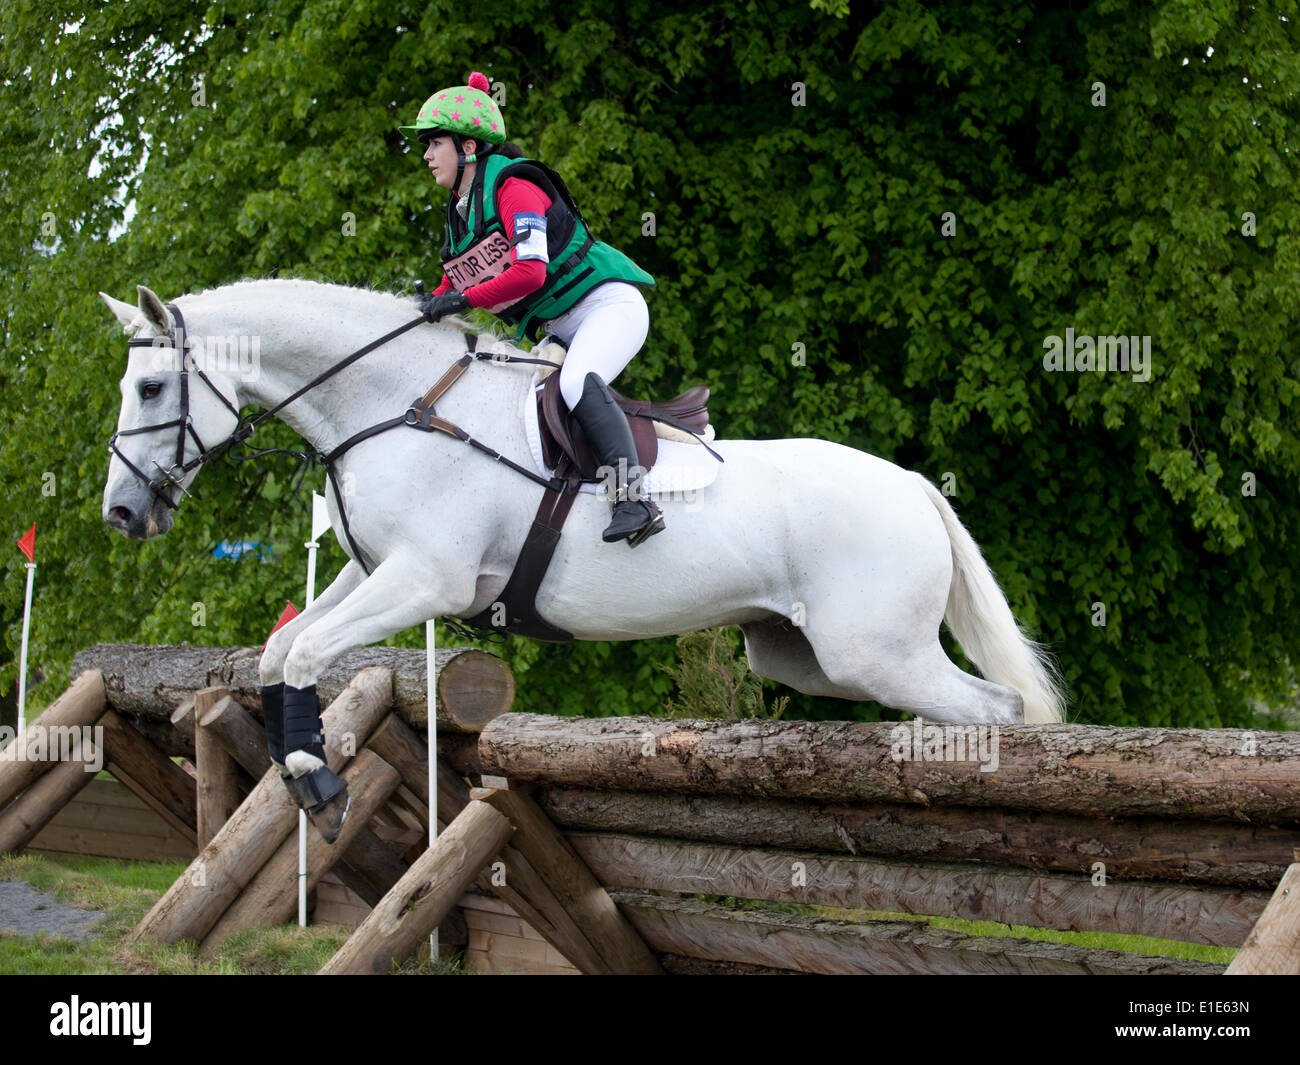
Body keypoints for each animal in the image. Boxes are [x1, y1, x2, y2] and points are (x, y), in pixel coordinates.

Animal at [101, 279, 1066, 738]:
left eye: (149, 387)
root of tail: (913, 486)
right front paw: (296, 767)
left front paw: (315, 780)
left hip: (877, 652)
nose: (120, 515)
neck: (394, 400)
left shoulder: (426, 582)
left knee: (996, 711)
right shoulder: (370, 572)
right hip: (809, 657)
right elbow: (279, 649)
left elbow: (304, 651)